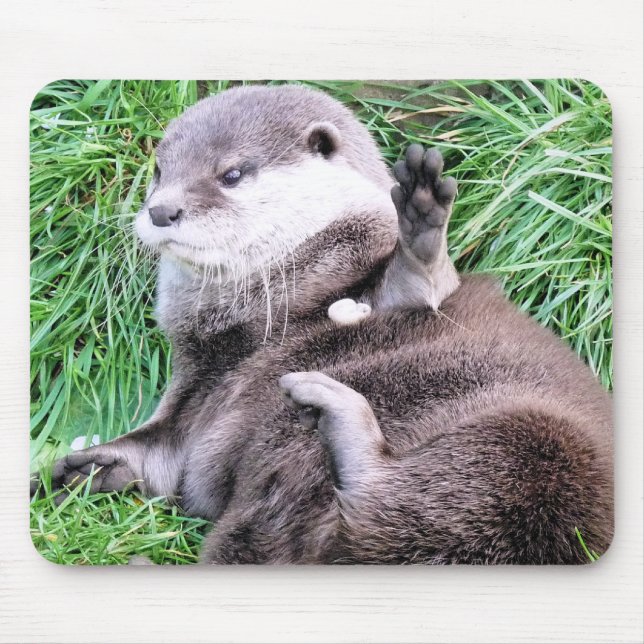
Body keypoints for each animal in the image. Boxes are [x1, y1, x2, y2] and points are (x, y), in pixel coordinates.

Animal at [33, 84, 613, 564]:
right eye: (159, 170)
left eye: (232, 173)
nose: (162, 210)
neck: (259, 322)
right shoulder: (196, 389)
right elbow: (161, 455)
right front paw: (83, 467)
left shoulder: (377, 287)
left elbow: (421, 286)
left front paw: (422, 219)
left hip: (533, 450)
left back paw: (343, 422)